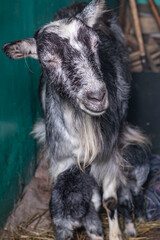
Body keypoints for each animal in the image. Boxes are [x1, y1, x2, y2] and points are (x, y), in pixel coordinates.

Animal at [2, 0, 150, 240]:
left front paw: (115, 233)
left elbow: (111, 201)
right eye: (47, 59)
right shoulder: (60, 157)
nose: (97, 96)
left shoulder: (109, 156)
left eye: (96, 44)